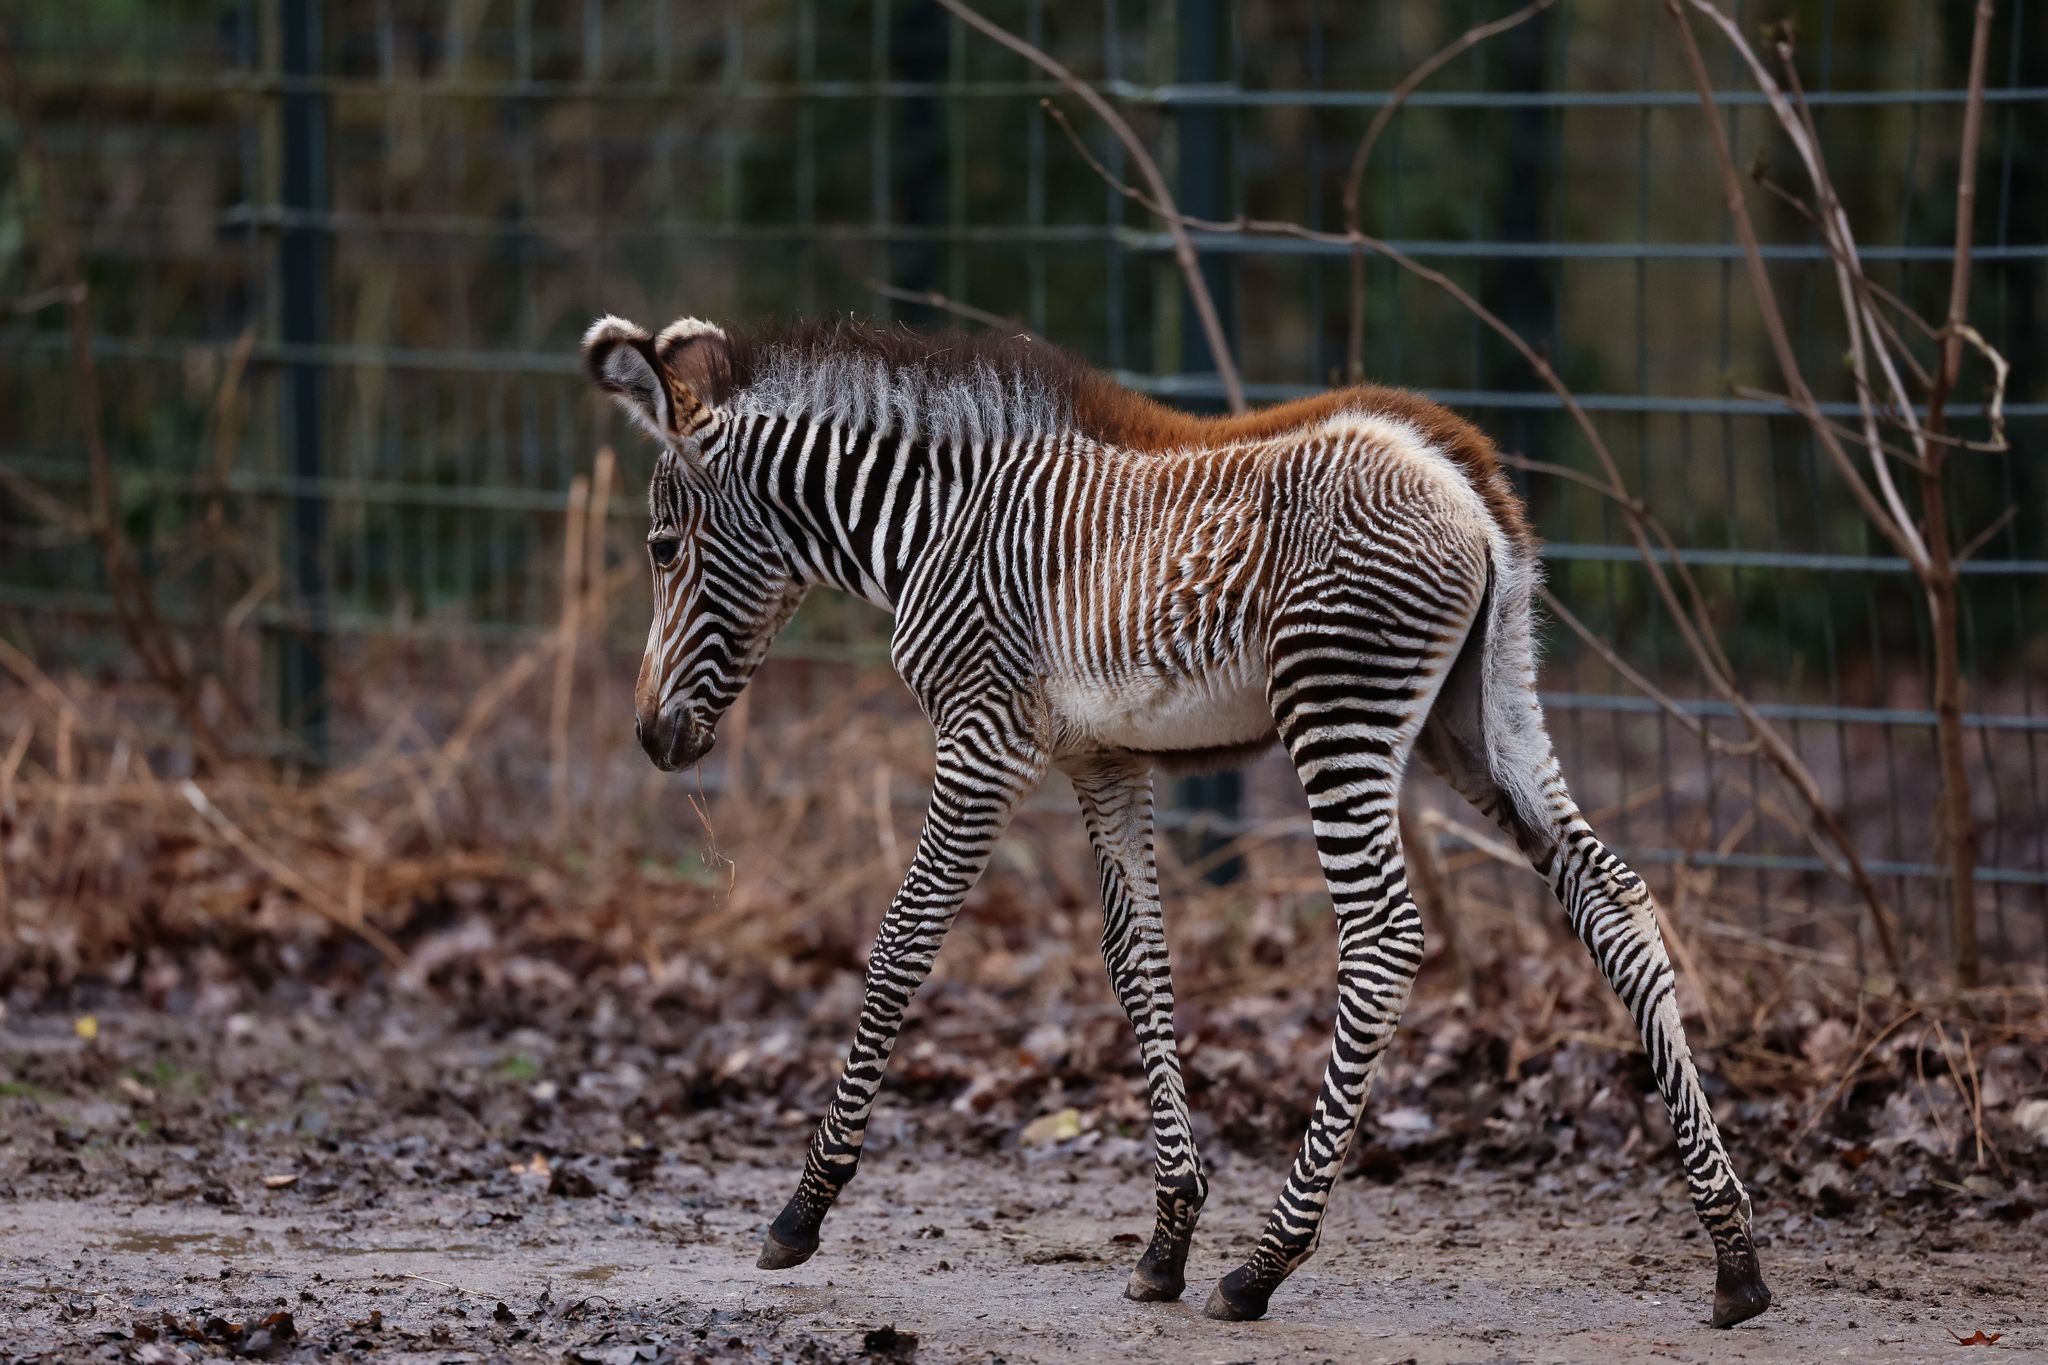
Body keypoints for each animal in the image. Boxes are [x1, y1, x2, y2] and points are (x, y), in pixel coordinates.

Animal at [582, 312, 1772, 1329]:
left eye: (659, 548)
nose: (648, 738)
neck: (931, 520)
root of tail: (1453, 468)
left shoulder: (981, 738)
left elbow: (902, 943)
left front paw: (803, 1208)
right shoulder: (1102, 758)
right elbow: (1137, 960)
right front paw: (1165, 1239)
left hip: (1337, 705)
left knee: (1384, 935)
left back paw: (1265, 1265)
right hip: (1483, 718)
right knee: (1613, 900)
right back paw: (1734, 1258)